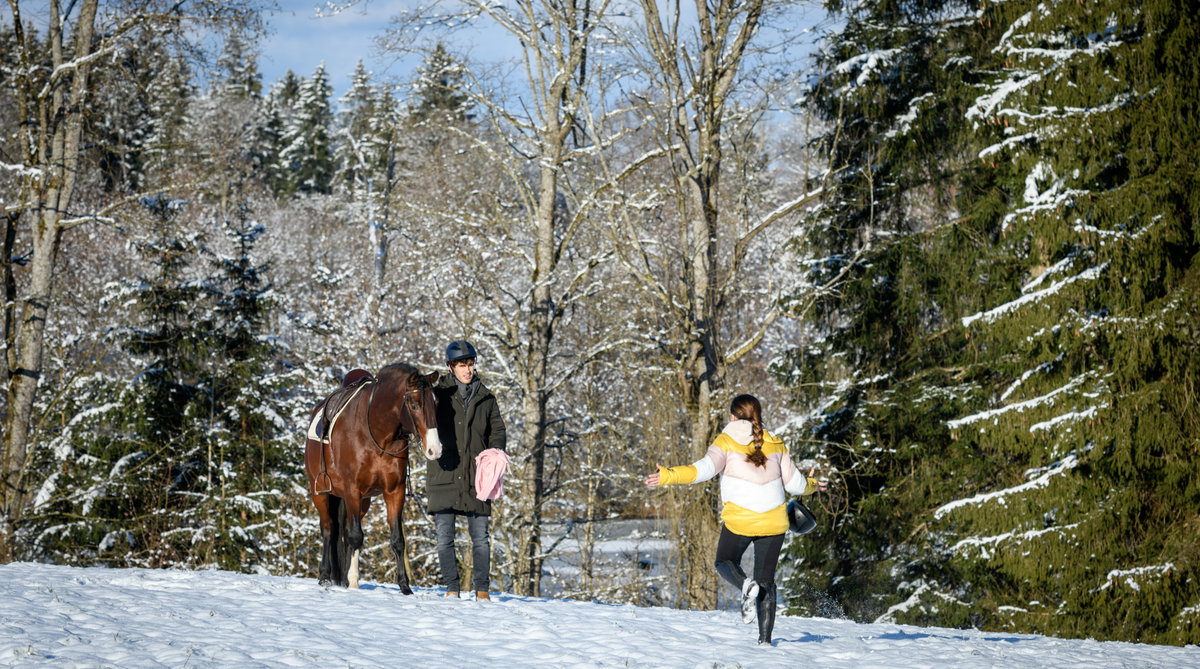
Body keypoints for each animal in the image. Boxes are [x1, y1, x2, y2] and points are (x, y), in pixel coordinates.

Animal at [303, 363, 442, 592]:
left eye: (435, 403)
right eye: (414, 405)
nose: (435, 449)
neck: (377, 434)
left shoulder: (394, 491)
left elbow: (397, 540)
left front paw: (405, 586)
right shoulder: (352, 490)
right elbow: (355, 536)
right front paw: (353, 582)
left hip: (363, 501)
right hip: (321, 493)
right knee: (328, 530)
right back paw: (325, 576)